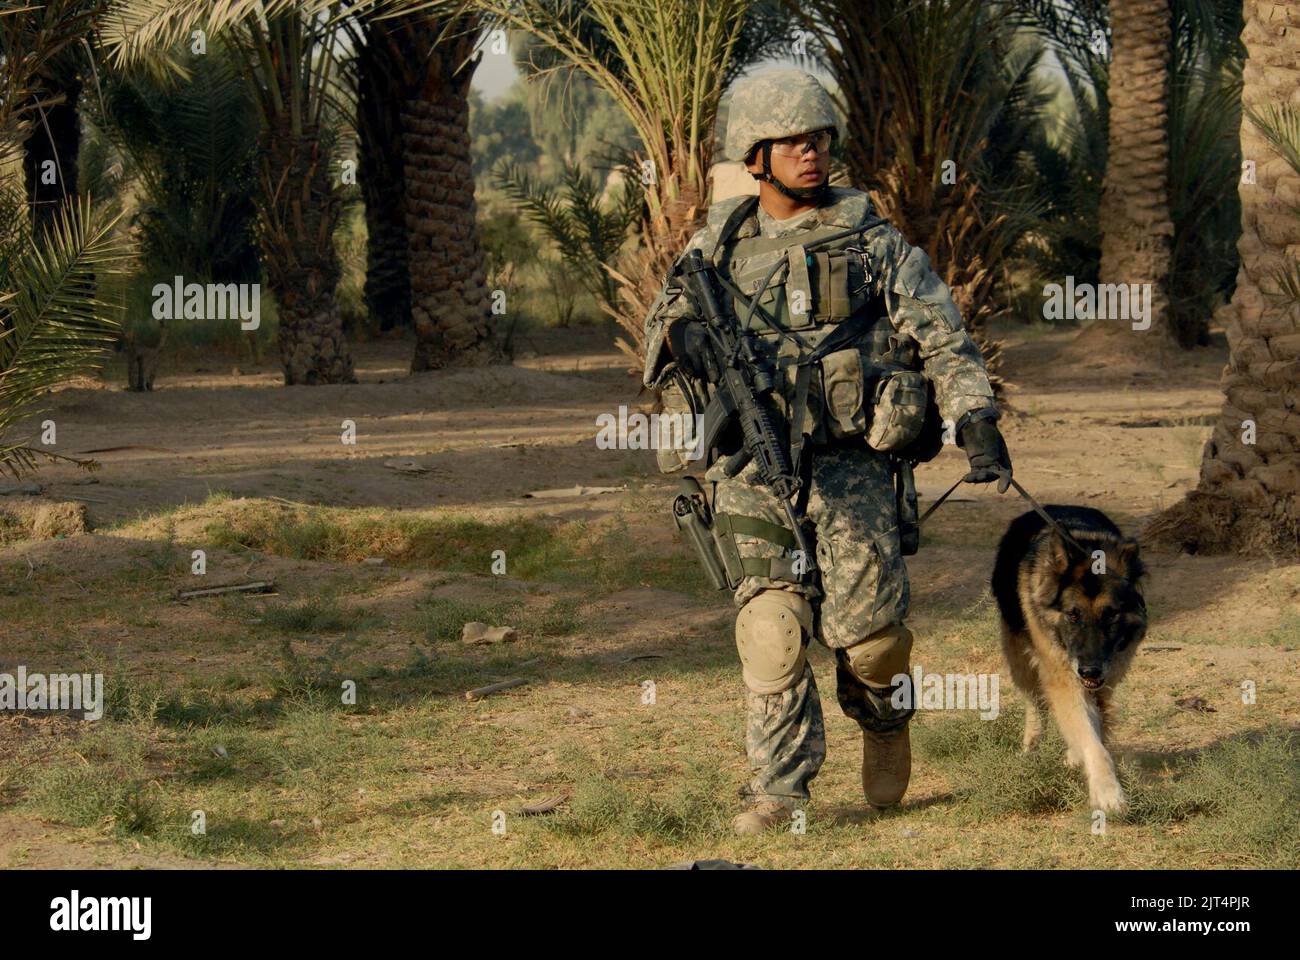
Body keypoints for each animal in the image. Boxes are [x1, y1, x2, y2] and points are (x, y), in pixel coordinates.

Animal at [993, 504, 1149, 811]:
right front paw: (1108, 791)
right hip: (1021, 660)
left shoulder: (1105, 681)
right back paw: (1031, 747)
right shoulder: (1064, 679)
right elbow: (1090, 739)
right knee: (1036, 705)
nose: (1088, 672)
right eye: (1073, 615)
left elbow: (1097, 728)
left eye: (1110, 615)